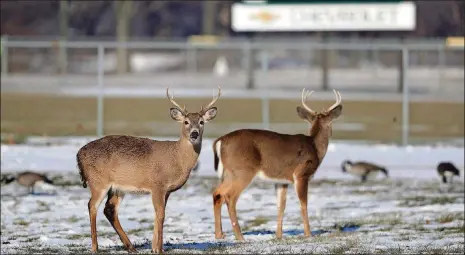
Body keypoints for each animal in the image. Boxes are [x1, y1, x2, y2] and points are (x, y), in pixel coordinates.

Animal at [76, 86, 221, 253]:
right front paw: (159, 249)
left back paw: (131, 247)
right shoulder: (157, 184)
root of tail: (79, 155)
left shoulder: (166, 190)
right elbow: (161, 214)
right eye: (186, 122)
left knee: (109, 209)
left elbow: (158, 214)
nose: (194, 134)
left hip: (117, 188)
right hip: (98, 182)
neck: (177, 158)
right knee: (92, 206)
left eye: (202, 122)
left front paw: (154, 248)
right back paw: (95, 247)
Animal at [210, 89, 340, 241]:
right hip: (243, 171)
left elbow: (281, 206)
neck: (315, 147)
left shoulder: (282, 181)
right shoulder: (302, 174)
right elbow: (303, 204)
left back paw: (219, 235)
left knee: (217, 194)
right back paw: (240, 237)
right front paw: (309, 234)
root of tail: (220, 141)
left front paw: (279, 235)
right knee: (230, 197)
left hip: (229, 173)